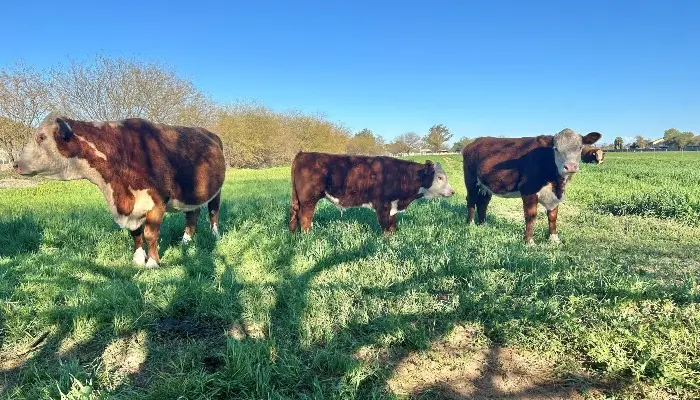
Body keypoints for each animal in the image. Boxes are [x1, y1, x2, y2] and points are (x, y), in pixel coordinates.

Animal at [13, 114, 226, 268]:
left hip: (218, 190)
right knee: (192, 214)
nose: (15, 164)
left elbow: (150, 234)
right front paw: (138, 259)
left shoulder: (157, 201)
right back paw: (186, 242)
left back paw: (215, 235)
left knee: (213, 211)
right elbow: (136, 233)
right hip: (193, 192)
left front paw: (153, 263)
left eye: (41, 137)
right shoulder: (131, 206)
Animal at [289, 152, 455, 233]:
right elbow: (385, 226)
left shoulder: (392, 206)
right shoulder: (383, 205)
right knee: (305, 218)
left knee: (294, 214)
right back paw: (308, 236)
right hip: (308, 199)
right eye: (440, 177)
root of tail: (304, 153)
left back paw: (293, 234)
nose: (453, 192)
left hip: (298, 199)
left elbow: (393, 225)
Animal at [462, 129, 601, 245]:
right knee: (471, 200)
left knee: (483, 202)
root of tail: (476, 141)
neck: (556, 182)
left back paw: (483, 224)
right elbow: (531, 216)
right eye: (556, 148)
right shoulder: (528, 190)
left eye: (580, 147)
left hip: (486, 185)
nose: (571, 166)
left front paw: (554, 238)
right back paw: (470, 223)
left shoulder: (555, 194)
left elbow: (553, 216)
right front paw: (529, 241)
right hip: (471, 180)